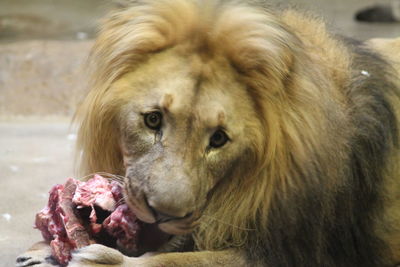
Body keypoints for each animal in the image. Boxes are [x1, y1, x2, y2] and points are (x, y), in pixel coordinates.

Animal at [17, 0, 400, 267]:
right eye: (153, 120)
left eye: (218, 139)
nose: (163, 214)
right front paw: (43, 249)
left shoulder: (290, 250)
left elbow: (179, 261)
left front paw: (100, 260)